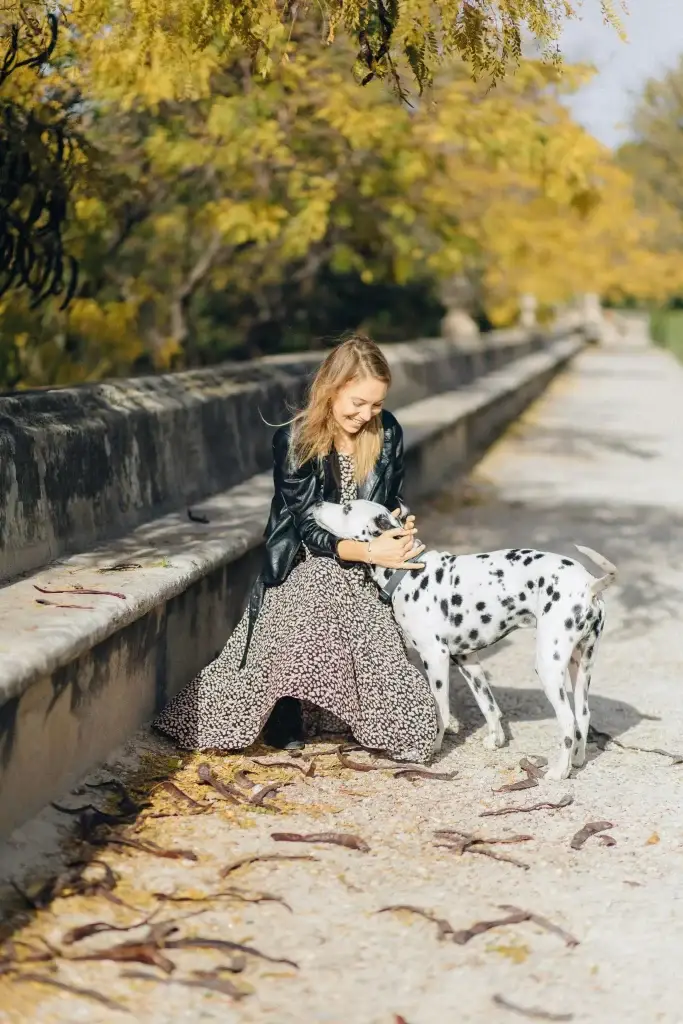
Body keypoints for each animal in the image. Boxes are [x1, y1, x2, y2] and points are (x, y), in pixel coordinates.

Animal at [311, 499, 618, 778]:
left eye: (347, 508)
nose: (317, 503)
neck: (410, 573)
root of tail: (589, 585)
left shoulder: (435, 658)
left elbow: (441, 713)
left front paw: (432, 751)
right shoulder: (467, 659)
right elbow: (489, 705)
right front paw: (496, 740)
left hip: (549, 668)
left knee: (568, 722)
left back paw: (558, 772)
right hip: (580, 666)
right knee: (583, 715)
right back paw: (577, 761)